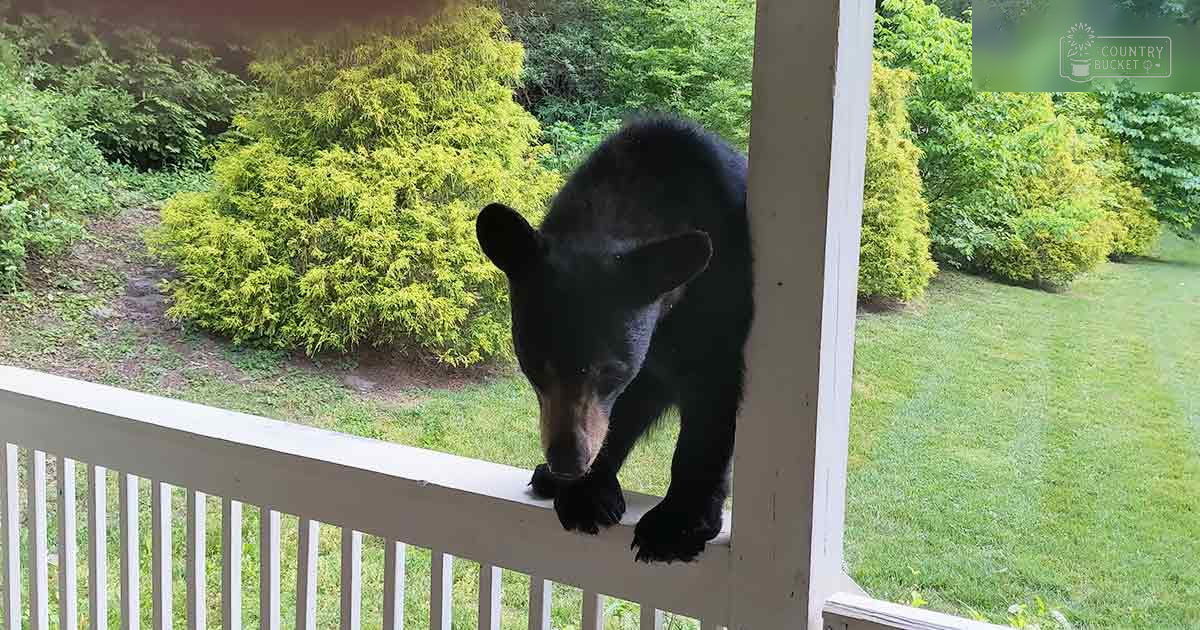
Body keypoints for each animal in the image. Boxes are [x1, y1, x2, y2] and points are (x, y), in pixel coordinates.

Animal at [475, 115, 752, 563]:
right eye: (535, 365)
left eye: (611, 372)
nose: (567, 461)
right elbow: (616, 413)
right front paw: (585, 492)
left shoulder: (720, 299)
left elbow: (711, 401)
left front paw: (676, 524)